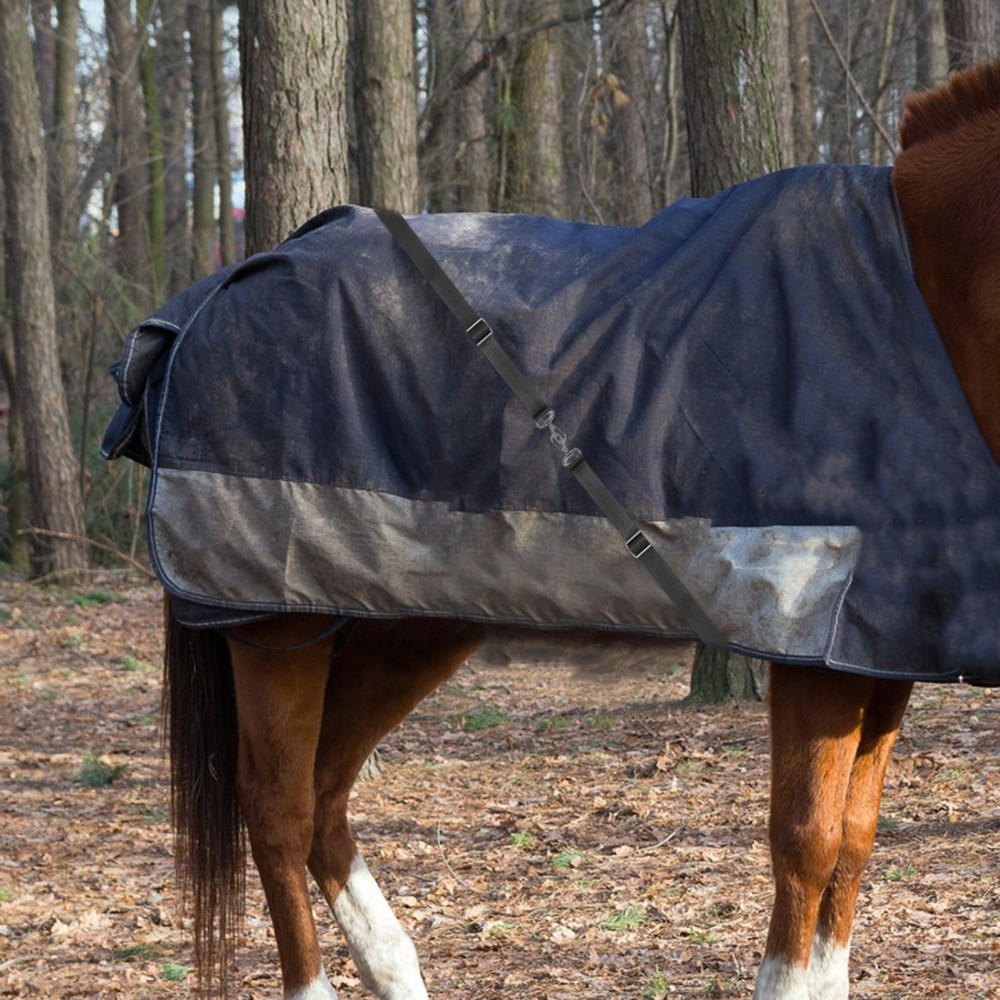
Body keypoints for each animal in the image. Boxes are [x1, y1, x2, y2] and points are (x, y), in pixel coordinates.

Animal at [148, 63, 1000, 1000]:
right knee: (279, 810)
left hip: (403, 623)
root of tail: (224, 288)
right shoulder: (812, 639)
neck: (909, 295)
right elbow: (807, 846)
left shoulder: (886, 648)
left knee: (328, 790)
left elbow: (853, 843)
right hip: (274, 626)